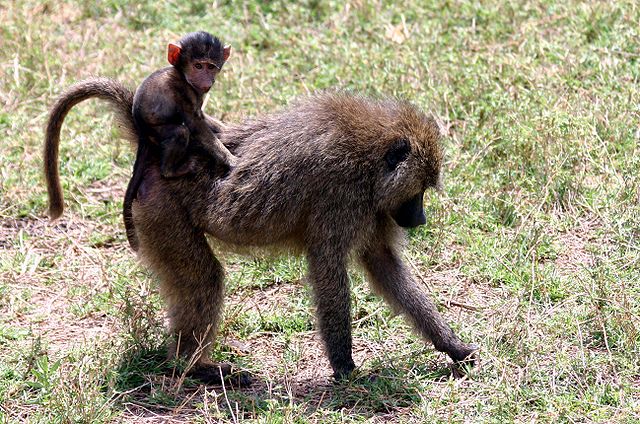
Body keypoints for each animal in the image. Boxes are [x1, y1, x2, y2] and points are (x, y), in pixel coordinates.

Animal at [45, 87, 478, 385]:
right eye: (419, 192)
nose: (419, 219)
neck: (370, 155)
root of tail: (154, 147)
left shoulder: (373, 210)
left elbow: (384, 266)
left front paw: (452, 346)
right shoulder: (341, 198)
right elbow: (328, 270)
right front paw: (345, 367)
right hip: (161, 212)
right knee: (204, 278)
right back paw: (194, 367)